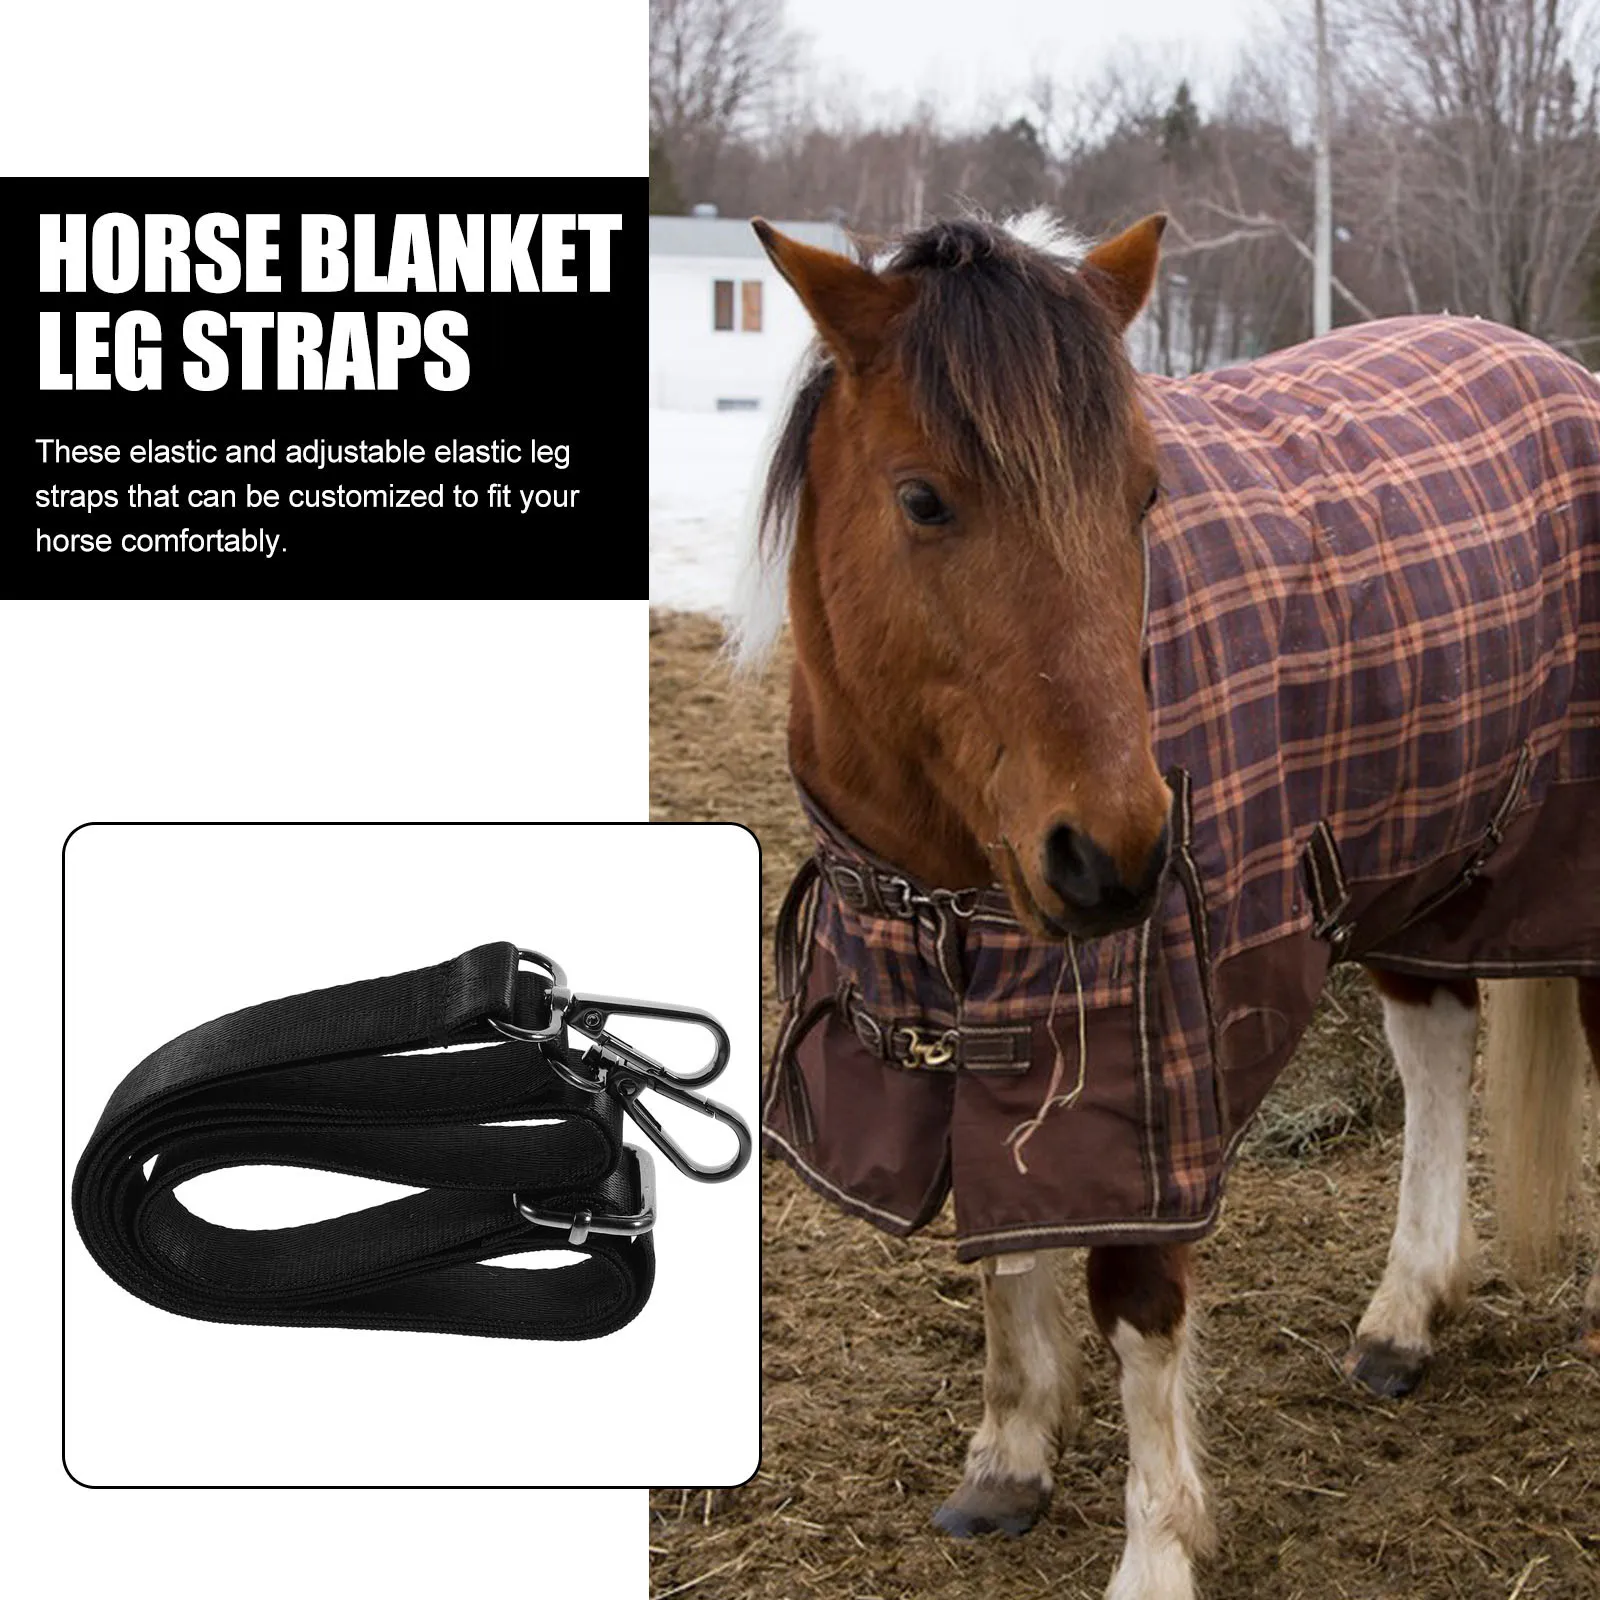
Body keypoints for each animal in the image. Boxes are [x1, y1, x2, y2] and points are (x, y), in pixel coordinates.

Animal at [739, 209, 1600, 1600]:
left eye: (1143, 494)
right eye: (922, 498)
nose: (1119, 855)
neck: (945, 865)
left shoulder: (1144, 1051)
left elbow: (1137, 1295)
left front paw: (1155, 1550)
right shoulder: (984, 1014)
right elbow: (1008, 1240)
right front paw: (1009, 1456)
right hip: (1417, 862)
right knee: (1435, 1042)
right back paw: (1404, 1313)